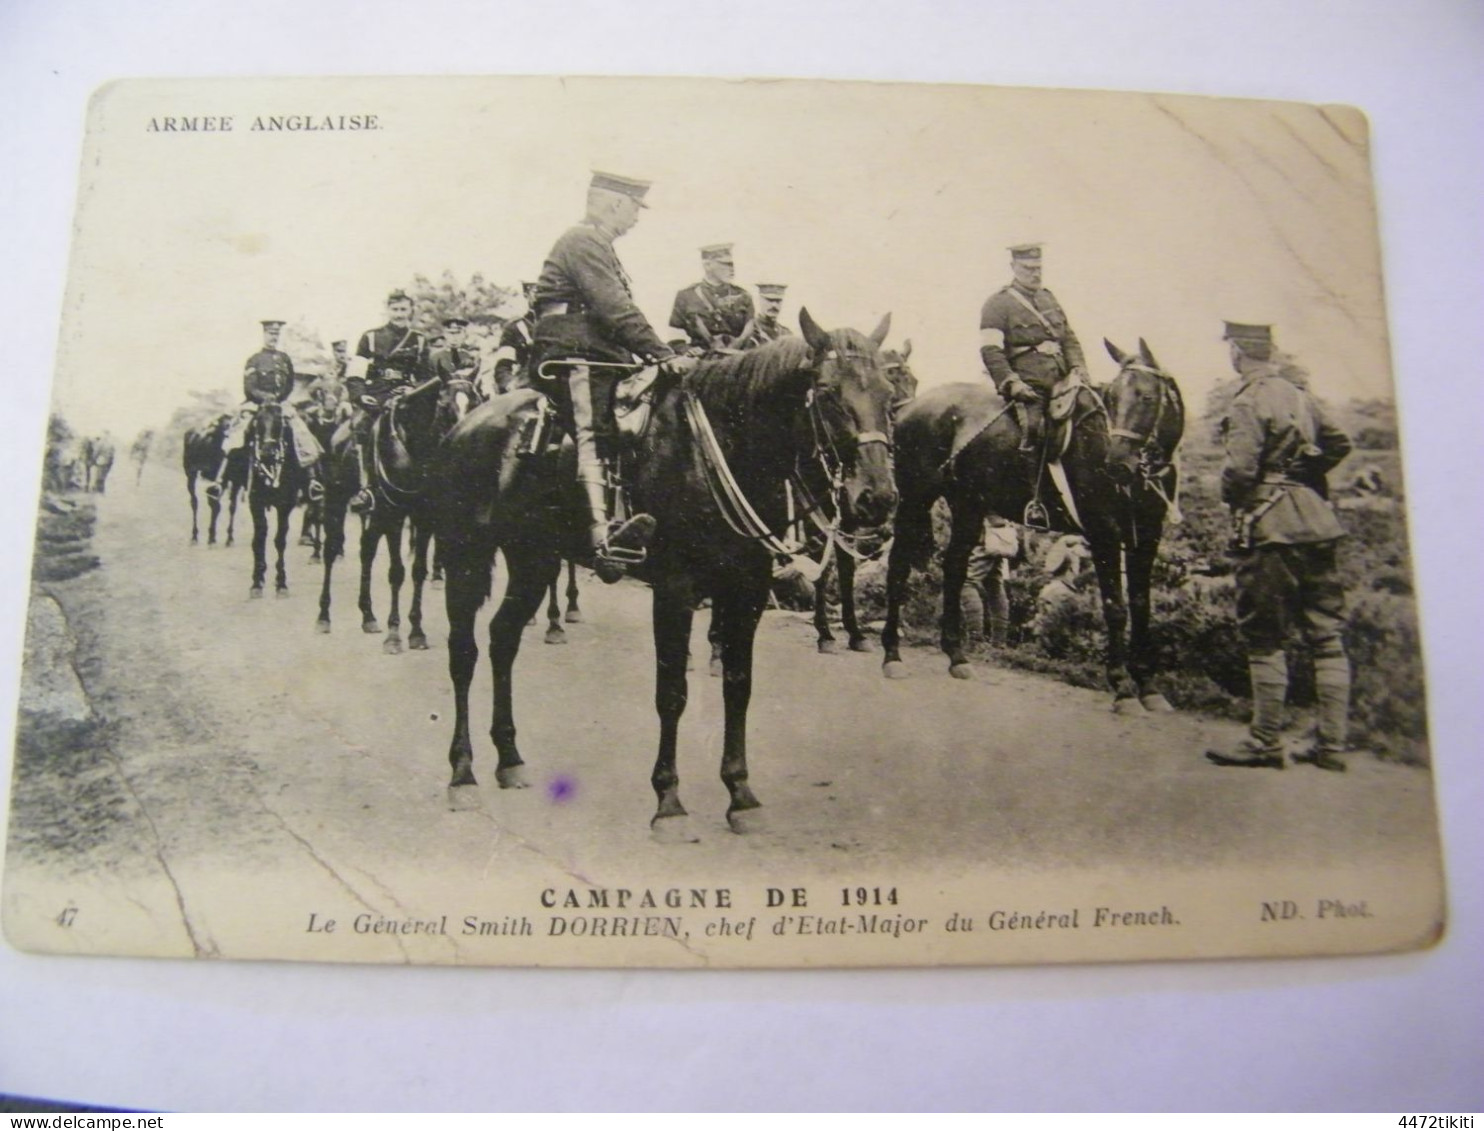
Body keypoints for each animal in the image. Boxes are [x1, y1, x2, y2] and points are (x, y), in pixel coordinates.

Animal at [182, 415, 246, 546]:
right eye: (223, 423)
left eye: (231, 423)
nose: (227, 434)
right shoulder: (212, 479)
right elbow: (216, 506)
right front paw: (212, 537)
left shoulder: (232, 480)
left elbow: (231, 506)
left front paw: (229, 538)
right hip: (191, 475)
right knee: (194, 502)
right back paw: (195, 536)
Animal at [244, 406, 314, 599]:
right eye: (257, 421)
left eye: (279, 423)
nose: (267, 452)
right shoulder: (255, 503)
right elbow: (259, 538)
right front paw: (256, 582)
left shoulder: (285, 505)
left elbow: (280, 540)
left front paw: (281, 583)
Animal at [424, 308, 896, 831]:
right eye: (828, 391)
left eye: (887, 393)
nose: (876, 498)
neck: (717, 449)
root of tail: (464, 427)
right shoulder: (674, 589)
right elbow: (671, 692)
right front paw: (668, 801)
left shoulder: (746, 589)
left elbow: (739, 685)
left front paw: (740, 793)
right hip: (466, 556)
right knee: (463, 653)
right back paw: (462, 773)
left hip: (535, 561)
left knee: (503, 639)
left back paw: (509, 759)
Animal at [878, 335, 1181, 709]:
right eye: (1111, 399)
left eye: (1148, 398)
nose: (1116, 465)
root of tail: (910, 410)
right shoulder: (1104, 534)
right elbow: (1115, 607)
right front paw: (1123, 686)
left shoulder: (1147, 538)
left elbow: (1141, 607)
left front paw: (1149, 687)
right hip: (915, 499)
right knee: (898, 566)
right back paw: (892, 655)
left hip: (968, 505)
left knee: (954, 568)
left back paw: (957, 656)